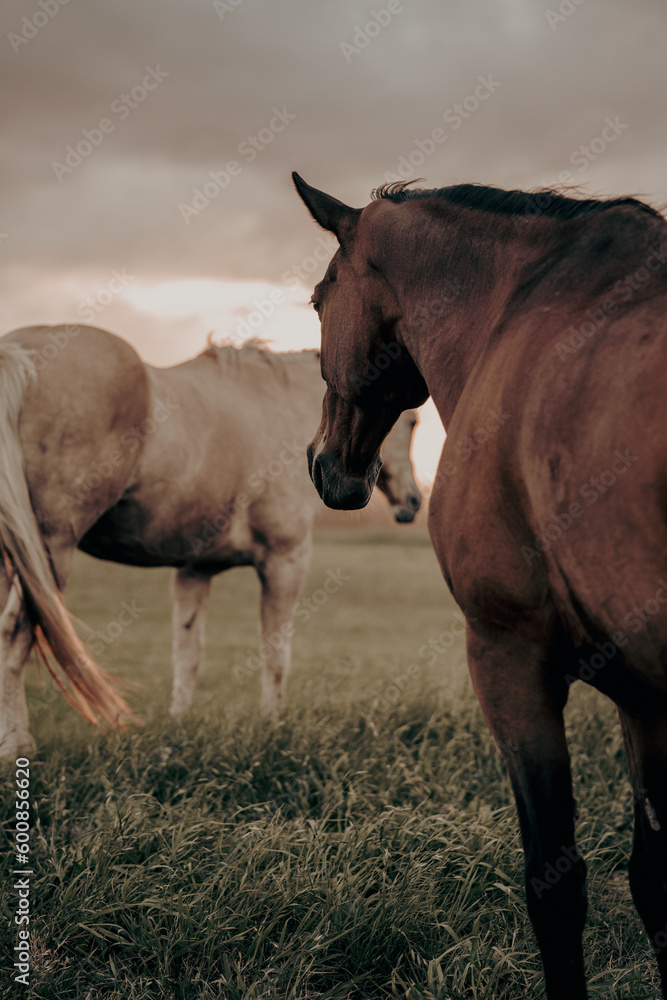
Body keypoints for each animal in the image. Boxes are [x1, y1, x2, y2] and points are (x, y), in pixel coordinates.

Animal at [0, 325, 421, 757]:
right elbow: (276, 652)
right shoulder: (286, 561)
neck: (282, 405)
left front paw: (177, 730)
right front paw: (273, 726)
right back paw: (16, 746)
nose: (413, 502)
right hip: (49, 552)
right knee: (16, 636)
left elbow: (188, 654)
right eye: (411, 422)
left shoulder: (194, 570)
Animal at [293, 171, 667, 999]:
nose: (324, 466)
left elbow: (555, 888)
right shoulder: (644, 699)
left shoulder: (507, 655)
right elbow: (657, 883)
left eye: (316, 300)